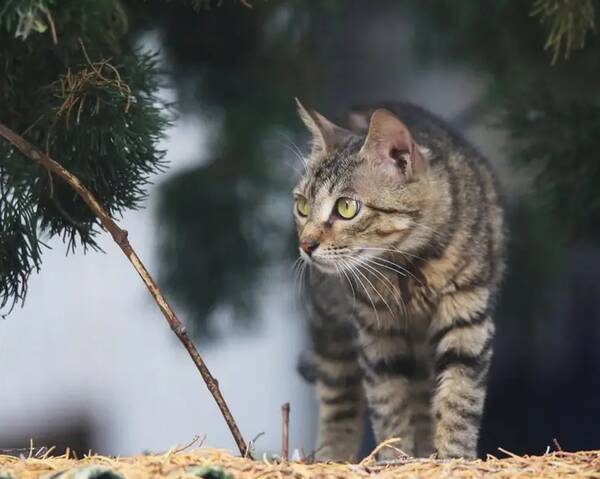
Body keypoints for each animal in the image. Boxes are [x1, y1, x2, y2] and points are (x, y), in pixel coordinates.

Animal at [294, 100, 506, 462]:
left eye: (346, 207)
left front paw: (453, 457)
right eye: (302, 205)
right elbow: (388, 403)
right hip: (331, 326)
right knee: (339, 399)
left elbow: (459, 398)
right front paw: (395, 458)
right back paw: (333, 455)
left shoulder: (468, 314)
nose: (306, 245)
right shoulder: (376, 332)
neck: (407, 265)